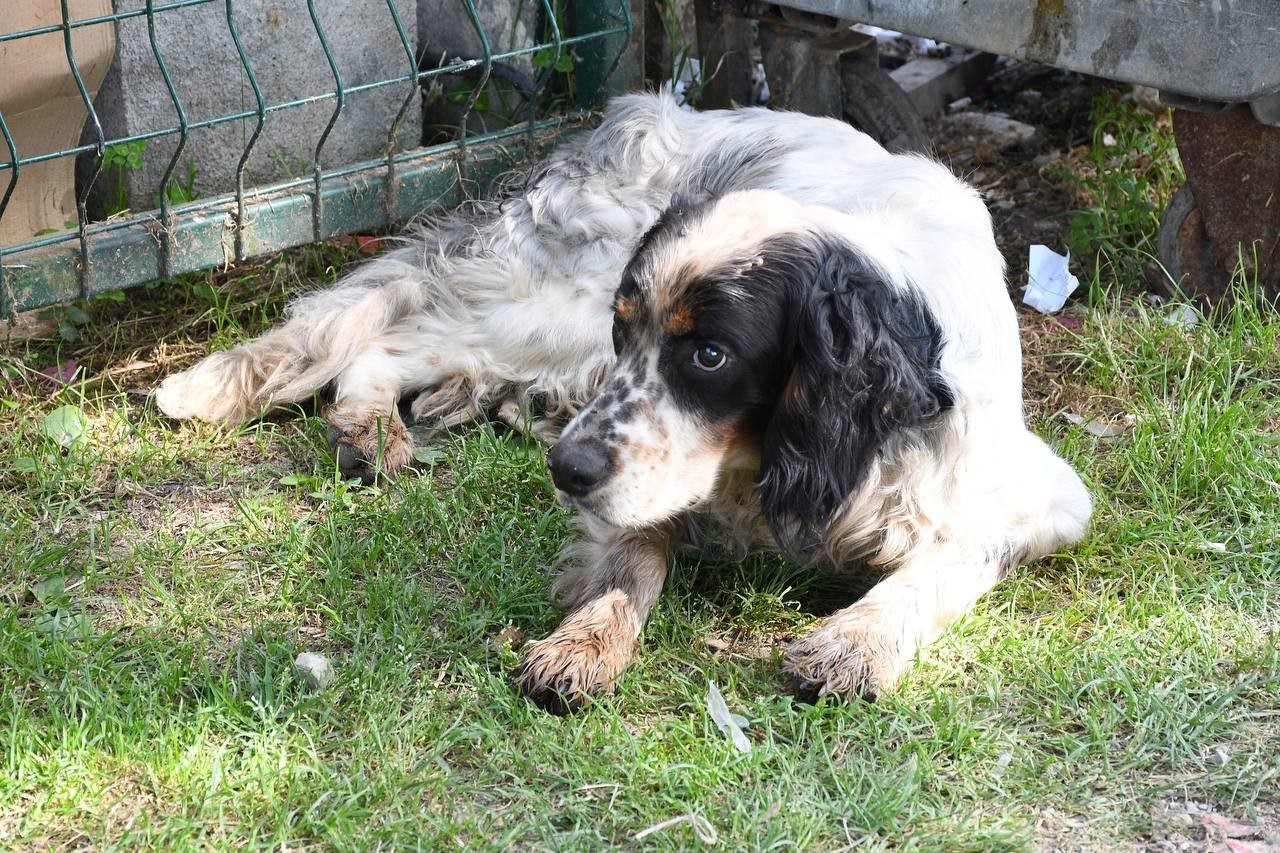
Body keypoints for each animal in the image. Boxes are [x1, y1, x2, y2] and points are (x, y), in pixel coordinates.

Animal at [152, 91, 1090, 712]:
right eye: (628, 331)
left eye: (710, 354)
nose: (563, 468)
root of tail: (633, 118)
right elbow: (631, 555)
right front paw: (584, 644)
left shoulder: (1038, 499)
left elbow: (940, 565)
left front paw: (854, 643)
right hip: (554, 313)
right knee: (391, 328)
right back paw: (369, 425)